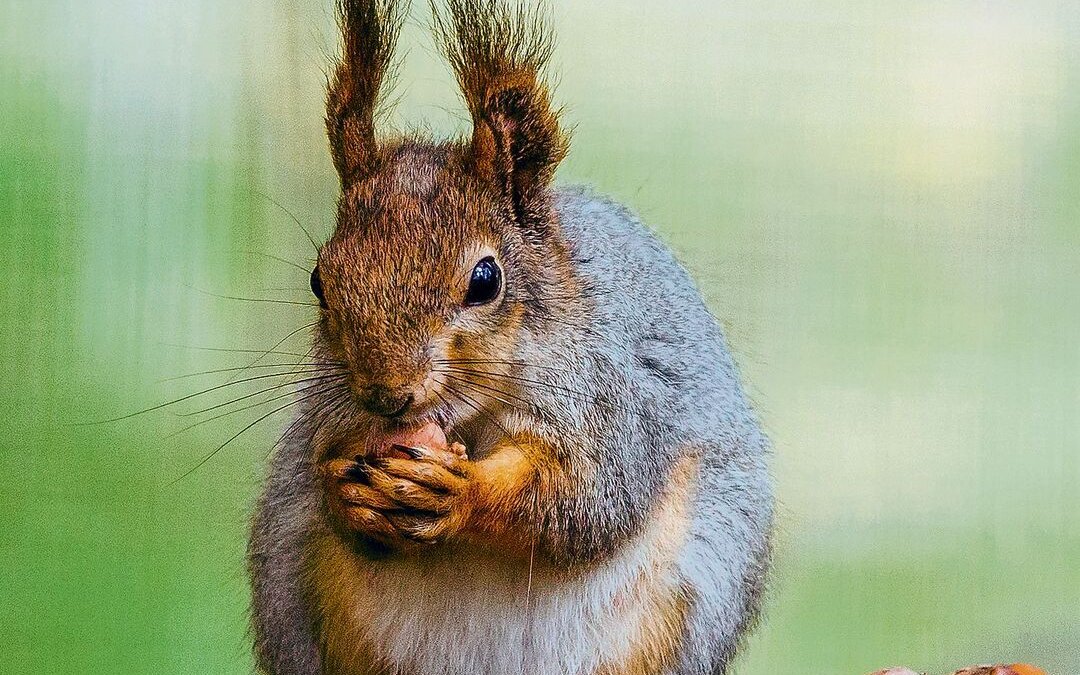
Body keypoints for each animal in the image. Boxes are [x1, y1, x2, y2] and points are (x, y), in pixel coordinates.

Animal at [247, 1, 774, 673]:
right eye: (320, 280)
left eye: (485, 279)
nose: (386, 395)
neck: (471, 419)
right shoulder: (330, 415)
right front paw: (345, 492)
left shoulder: (617, 397)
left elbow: (586, 496)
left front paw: (462, 493)